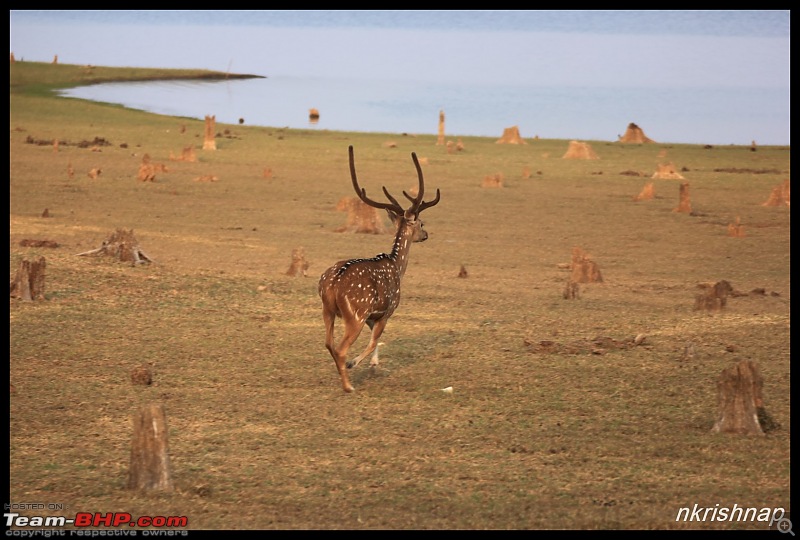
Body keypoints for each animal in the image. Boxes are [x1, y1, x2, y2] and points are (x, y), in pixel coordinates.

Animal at [318, 146, 444, 392]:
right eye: (422, 223)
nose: (426, 234)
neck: (397, 266)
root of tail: (332, 284)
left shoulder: (372, 315)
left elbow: (374, 341)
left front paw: (374, 365)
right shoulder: (388, 309)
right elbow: (375, 340)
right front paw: (355, 364)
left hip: (327, 309)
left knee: (328, 343)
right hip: (354, 314)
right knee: (340, 347)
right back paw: (348, 384)